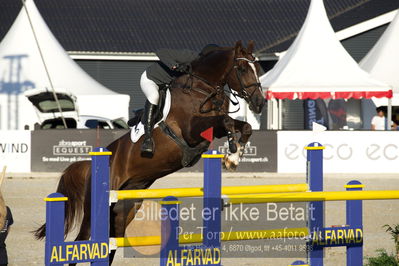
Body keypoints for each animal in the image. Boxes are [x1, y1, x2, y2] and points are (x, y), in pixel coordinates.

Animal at [34, 40, 266, 264]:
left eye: (258, 68)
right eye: (242, 68)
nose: (260, 103)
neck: (204, 87)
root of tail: (89, 166)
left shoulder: (211, 129)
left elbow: (243, 126)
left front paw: (234, 156)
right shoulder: (191, 130)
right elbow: (226, 121)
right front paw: (232, 152)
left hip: (124, 209)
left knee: (110, 244)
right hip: (96, 207)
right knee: (82, 242)